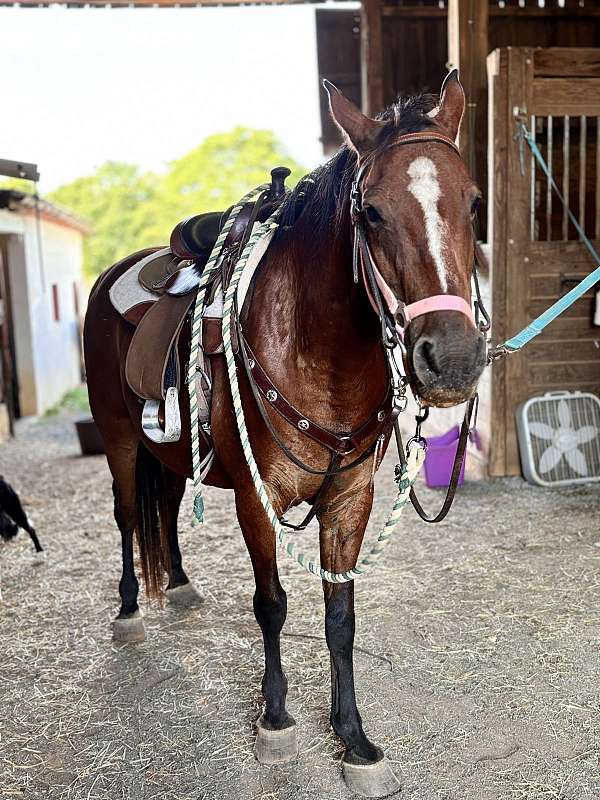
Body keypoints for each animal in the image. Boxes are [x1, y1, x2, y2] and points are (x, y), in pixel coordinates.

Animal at [84, 73, 488, 792]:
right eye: (371, 213)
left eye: (473, 204)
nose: (452, 359)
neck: (313, 350)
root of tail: (114, 272)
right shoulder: (257, 498)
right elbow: (271, 604)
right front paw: (276, 720)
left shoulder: (349, 499)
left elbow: (340, 615)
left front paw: (353, 738)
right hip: (118, 440)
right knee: (129, 515)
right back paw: (130, 612)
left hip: (167, 451)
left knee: (166, 507)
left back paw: (179, 586)